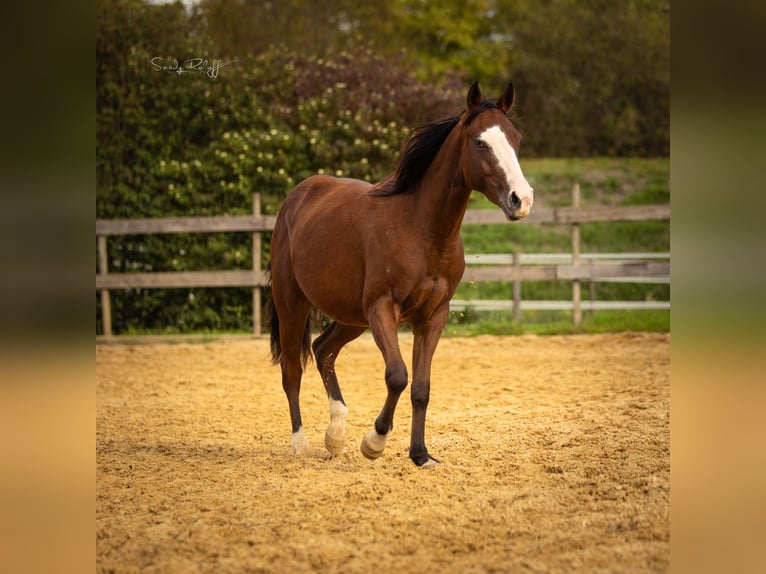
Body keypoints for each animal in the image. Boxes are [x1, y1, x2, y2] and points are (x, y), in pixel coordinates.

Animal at [267, 81, 534, 467]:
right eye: (480, 142)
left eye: (516, 139)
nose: (521, 199)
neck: (422, 230)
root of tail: (296, 197)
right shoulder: (383, 308)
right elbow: (397, 376)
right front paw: (374, 442)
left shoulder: (433, 316)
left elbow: (421, 387)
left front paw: (420, 455)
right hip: (293, 305)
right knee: (292, 371)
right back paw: (302, 445)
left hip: (352, 317)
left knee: (323, 350)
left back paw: (335, 435)